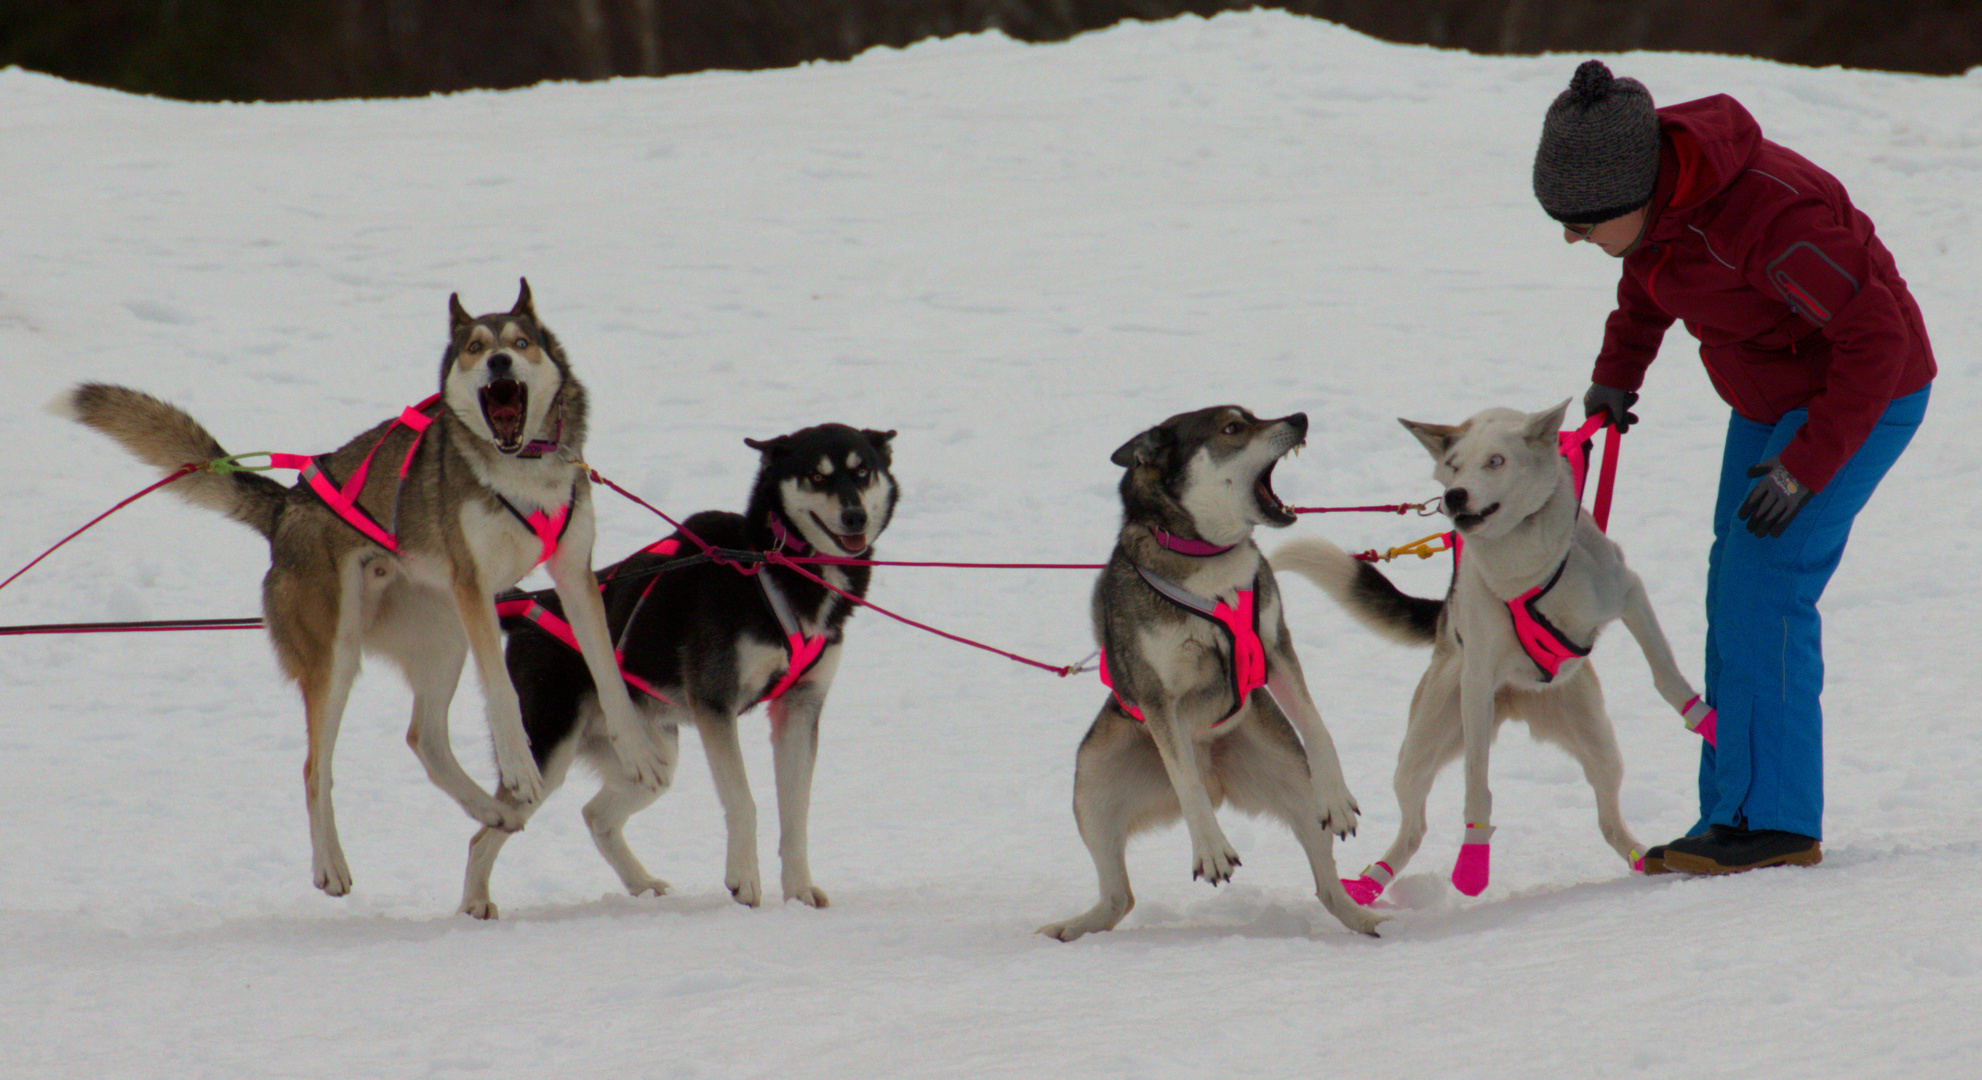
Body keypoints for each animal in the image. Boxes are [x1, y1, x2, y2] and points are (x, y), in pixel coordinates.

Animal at [54, 277, 669, 891]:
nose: (498, 361)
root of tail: (286, 510)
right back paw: (331, 862)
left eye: (521, 343)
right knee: (314, 769)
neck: (522, 471)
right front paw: (519, 765)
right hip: (340, 652)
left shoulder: (572, 576)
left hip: (446, 632)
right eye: (475, 347)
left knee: (425, 737)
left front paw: (637, 751)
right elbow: (501, 692)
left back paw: (492, 810)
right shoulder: (474, 585)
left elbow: (608, 674)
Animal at [1046, 404, 1387, 935]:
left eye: (1252, 414)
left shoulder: (1276, 647)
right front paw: (1211, 849)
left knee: (1327, 885)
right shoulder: (1157, 695)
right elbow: (1182, 774)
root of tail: (1216, 773)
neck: (1210, 567)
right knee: (1119, 894)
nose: (1300, 417)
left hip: (1290, 776)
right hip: (1093, 784)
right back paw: (1071, 929)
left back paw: (1363, 919)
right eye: (1232, 428)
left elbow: (1317, 725)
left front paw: (1336, 795)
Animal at [1276, 400, 1712, 895]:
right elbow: (1476, 787)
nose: (1455, 497)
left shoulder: (1629, 595)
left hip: (1599, 743)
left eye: (1496, 461)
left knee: (1608, 819)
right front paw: (1473, 857)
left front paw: (1707, 721)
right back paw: (1373, 880)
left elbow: (1666, 677)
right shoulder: (1479, 681)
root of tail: (1521, 699)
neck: (1526, 567)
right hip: (1424, 745)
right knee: (1414, 828)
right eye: (1453, 464)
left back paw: (1642, 857)